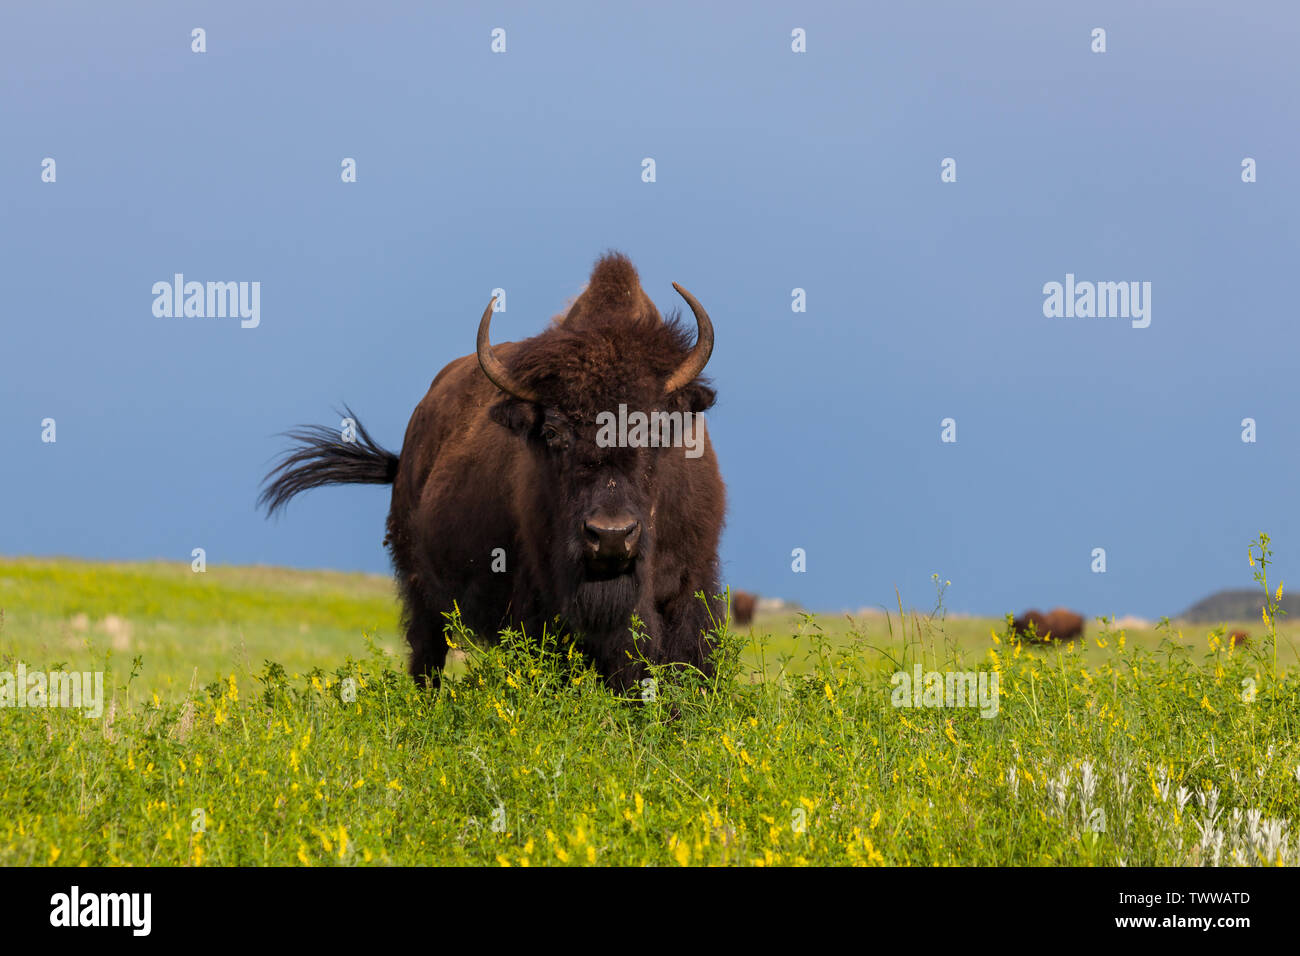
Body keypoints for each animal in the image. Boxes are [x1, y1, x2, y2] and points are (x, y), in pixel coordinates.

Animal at [261, 253, 726, 692]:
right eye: (552, 432)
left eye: (658, 427)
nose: (610, 536)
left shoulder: (690, 593)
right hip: (423, 594)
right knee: (426, 657)